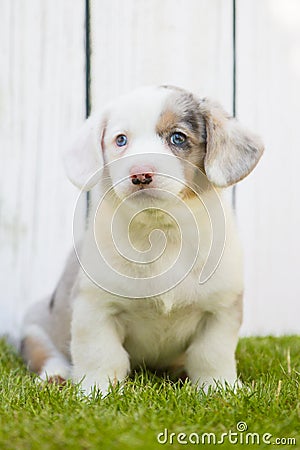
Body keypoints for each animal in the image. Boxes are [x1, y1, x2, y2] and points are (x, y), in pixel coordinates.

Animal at [21, 84, 264, 394]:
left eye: (177, 137)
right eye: (121, 140)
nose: (140, 174)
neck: (159, 230)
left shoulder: (220, 311)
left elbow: (211, 355)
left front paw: (219, 389)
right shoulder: (95, 309)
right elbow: (101, 355)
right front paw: (97, 393)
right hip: (35, 328)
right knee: (46, 352)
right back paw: (57, 375)